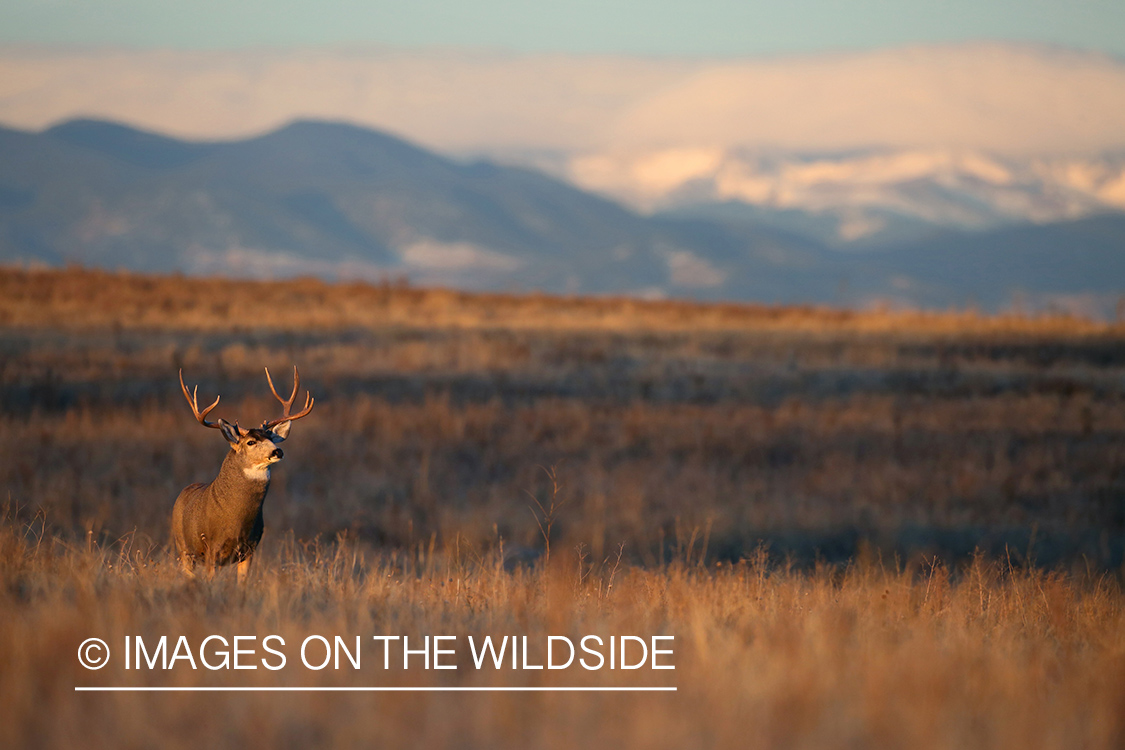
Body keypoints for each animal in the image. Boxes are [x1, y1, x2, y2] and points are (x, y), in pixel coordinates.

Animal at [172, 366, 314, 582]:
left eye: (271, 437)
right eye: (251, 442)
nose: (278, 451)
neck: (236, 519)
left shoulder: (249, 548)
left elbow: (243, 583)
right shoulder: (211, 547)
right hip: (184, 549)